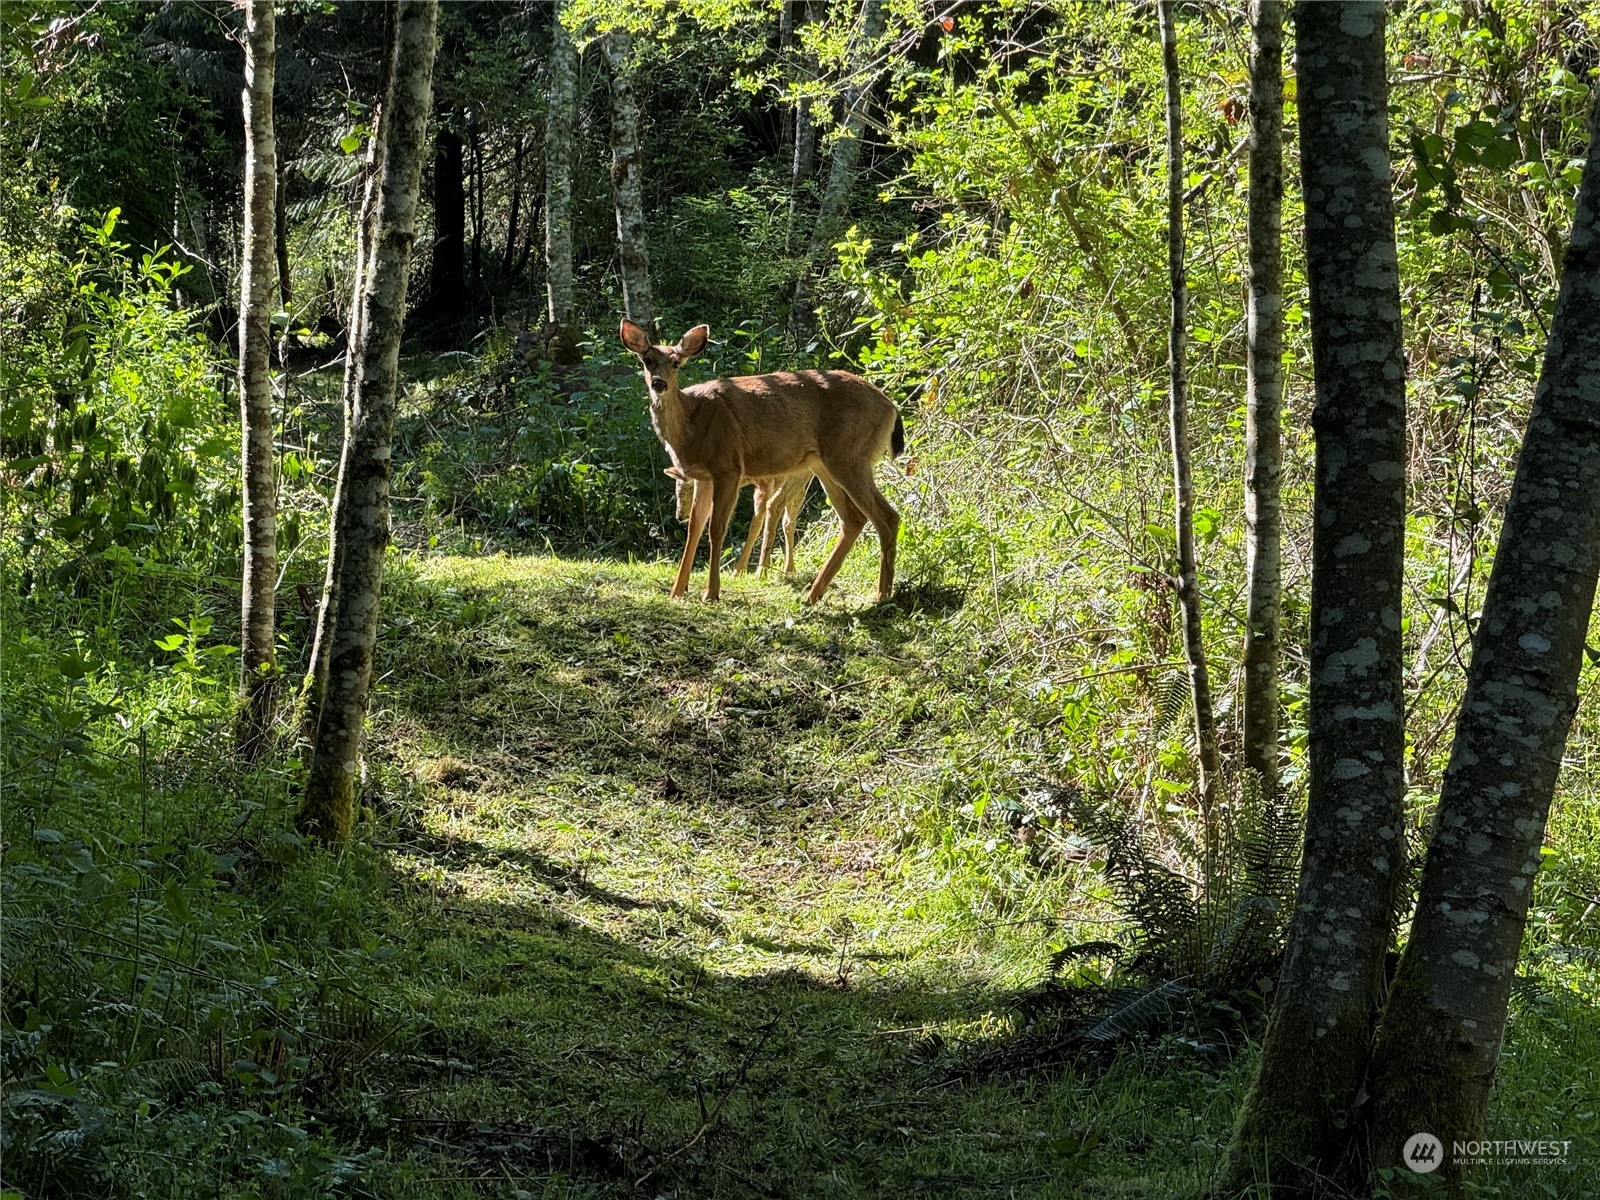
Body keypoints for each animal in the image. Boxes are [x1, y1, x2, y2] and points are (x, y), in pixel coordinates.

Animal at [620, 320, 902, 604]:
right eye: (647, 360)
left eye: (676, 362)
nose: (659, 384)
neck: (691, 423)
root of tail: (891, 408)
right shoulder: (703, 476)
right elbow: (694, 528)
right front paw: (677, 591)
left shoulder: (728, 466)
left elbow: (716, 528)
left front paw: (711, 592)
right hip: (823, 465)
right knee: (853, 520)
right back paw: (814, 594)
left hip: (850, 455)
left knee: (886, 516)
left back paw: (881, 595)